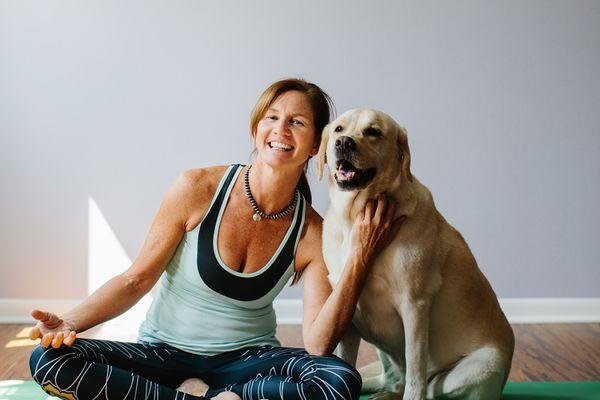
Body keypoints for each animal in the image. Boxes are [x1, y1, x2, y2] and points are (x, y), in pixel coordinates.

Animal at [316, 108, 512, 398]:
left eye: (373, 132)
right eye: (339, 129)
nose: (343, 143)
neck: (353, 215)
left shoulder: (415, 305)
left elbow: (415, 371)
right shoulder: (346, 311)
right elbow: (345, 363)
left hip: (483, 364)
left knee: (426, 386)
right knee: (389, 378)